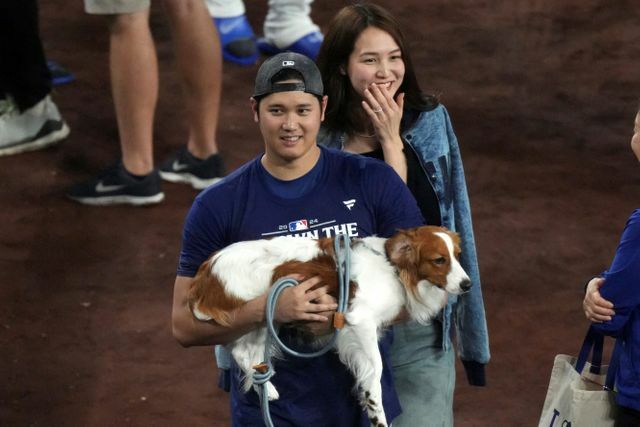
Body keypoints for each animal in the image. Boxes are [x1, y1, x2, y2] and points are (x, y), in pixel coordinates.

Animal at [189, 226, 470, 426]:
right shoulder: (361, 322)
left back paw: (267, 388)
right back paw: (267, 387)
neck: (393, 267)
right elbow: (375, 370)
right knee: (241, 352)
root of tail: (206, 271)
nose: (467, 284)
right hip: (260, 314)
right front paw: (374, 408)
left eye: (458, 256)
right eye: (439, 260)